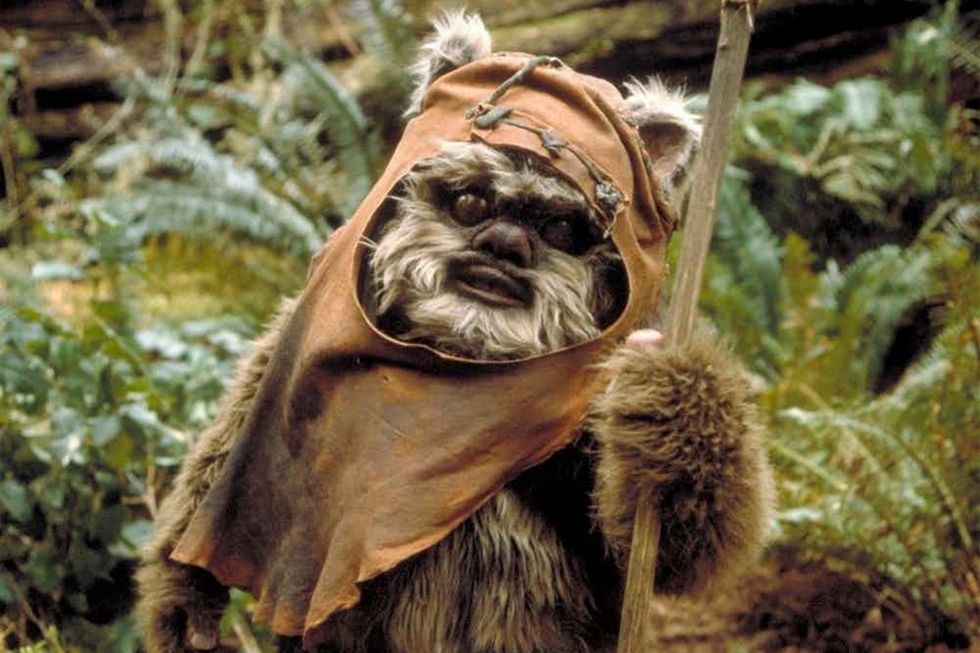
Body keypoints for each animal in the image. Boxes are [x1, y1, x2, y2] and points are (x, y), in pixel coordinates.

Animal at [136, 11, 773, 653]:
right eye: (469, 202)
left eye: (561, 229)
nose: (505, 245)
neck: (459, 365)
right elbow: (224, 449)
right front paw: (184, 600)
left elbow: (679, 553)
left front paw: (667, 395)